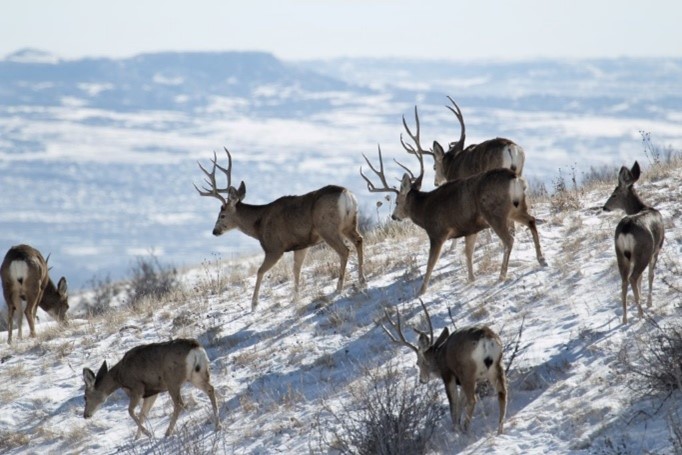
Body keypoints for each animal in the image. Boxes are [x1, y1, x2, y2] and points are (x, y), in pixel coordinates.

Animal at [82, 338, 220, 439]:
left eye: (85, 397)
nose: (85, 415)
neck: (120, 377)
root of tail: (196, 348)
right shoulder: (152, 393)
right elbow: (143, 414)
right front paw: (137, 437)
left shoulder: (137, 388)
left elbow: (131, 411)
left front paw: (147, 433)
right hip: (197, 375)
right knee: (210, 389)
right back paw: (217, 425)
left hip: (172, 381)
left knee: (179, 404)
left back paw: (168, 432)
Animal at [195, 147, 365, 310]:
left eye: (222, 215)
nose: (214, 231)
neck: (259, 225)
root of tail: (346, 194)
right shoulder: (301, 245)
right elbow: (296, 269)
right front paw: (295, 298)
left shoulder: (274, 247)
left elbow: (260, 271)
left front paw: (254, 304)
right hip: (349, 224)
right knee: (359, 240)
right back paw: (361, 280)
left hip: (327, 228)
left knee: (344, 250)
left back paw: (339, 287)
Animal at [361, 116, 547, 295]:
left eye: (397, 201)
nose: (394, 216)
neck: (424, 209)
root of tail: (514, 178)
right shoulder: (470, 228)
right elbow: (468, 253)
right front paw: (471, 279)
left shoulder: (437, 232)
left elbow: (431, 263)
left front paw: (421, 291)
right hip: (516, 207)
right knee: (531, 220)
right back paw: (541, 260)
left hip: (495, 213)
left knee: (509, 239)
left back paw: (502, 275)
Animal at [381, 299, 507, 434]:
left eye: (418, 363)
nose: (422, 380)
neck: (439, 357)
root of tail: (487, 340)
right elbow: (460, 403)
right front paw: (457, 425)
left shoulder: (448, 375)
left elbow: (453, 403)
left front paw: (455, 428)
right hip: (497, 365)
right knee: (502, 393)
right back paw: (500, 430)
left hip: (467, 372)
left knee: (473, 399)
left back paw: (465, 429)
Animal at [602, 161, 664, 324]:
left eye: (614, 194)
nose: (604, 207)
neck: (642, 207)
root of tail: (625, 229)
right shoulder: (657, 249)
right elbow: (650, 275)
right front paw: (649, 302)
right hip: (643, 252)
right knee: (633, 277)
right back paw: (641, 313)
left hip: (620, 254)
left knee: (624, 281)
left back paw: (625, 318)